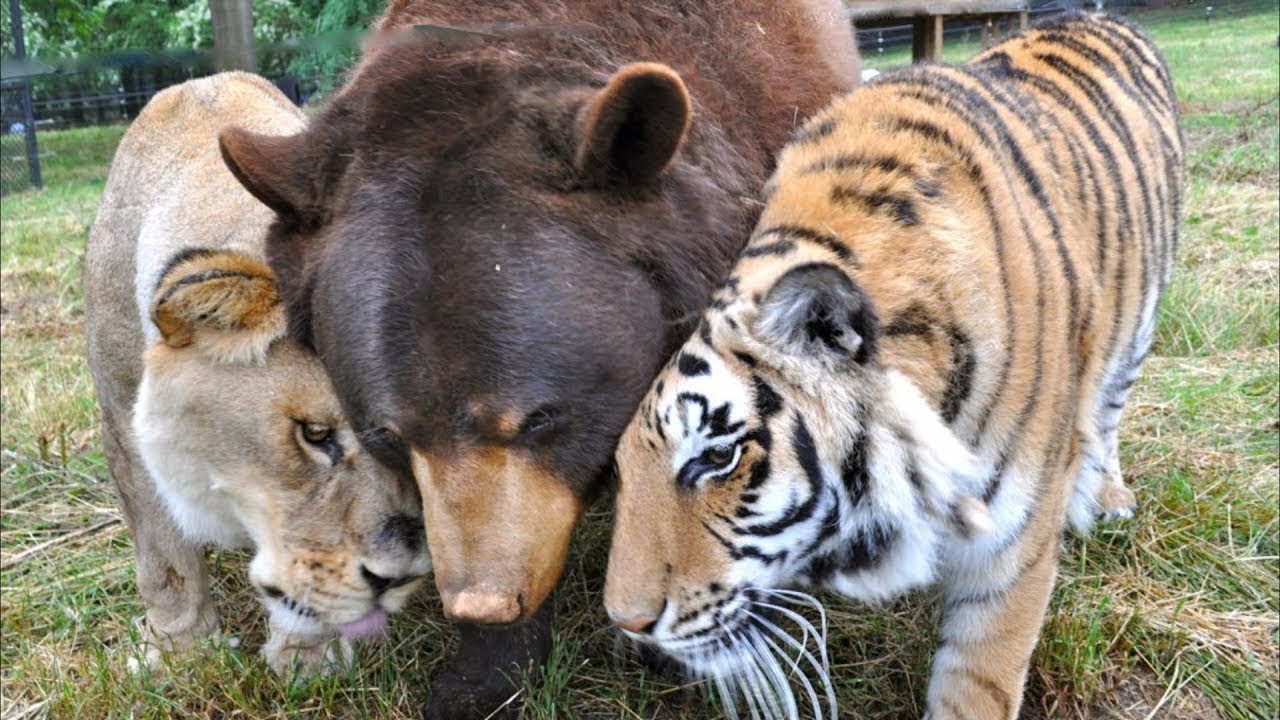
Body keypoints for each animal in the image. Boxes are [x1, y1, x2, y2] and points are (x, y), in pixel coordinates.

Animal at [83, 72, 432, 675]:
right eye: (315, 435)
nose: (402, 577)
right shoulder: (122, 422)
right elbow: (163, 558)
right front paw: (180, 653)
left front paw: (308, 658)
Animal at [603, 12, 1182, 720]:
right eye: (621, 468)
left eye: (717, 457)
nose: (626, 623)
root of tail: (1096, 13)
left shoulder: (1011, 549)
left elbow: (978, 683)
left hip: (1139, 326)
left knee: (1107, 411)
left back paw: (1107, 497)